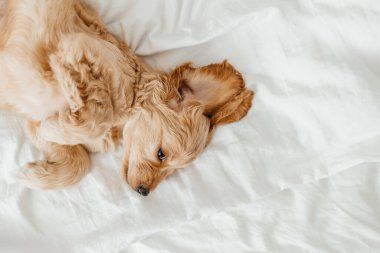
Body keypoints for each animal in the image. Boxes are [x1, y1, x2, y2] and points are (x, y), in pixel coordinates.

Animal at [0, 0, 255, 196]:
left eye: (174, 171)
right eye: (161, 154)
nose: (143, 192)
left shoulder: (33, 123)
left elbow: (78, 163)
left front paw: (33, 173)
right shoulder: (77, 47)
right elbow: (97, 112)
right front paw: (71, 103)